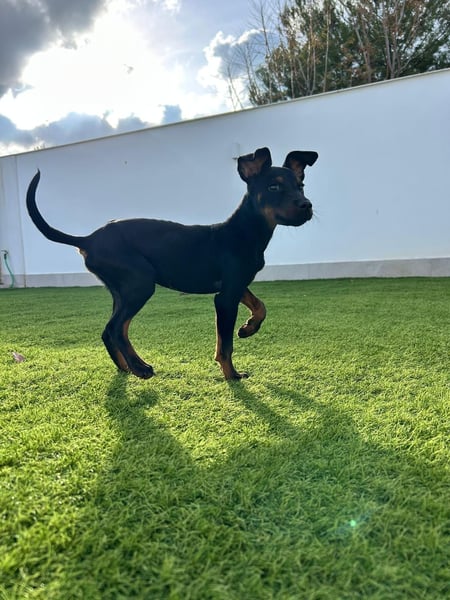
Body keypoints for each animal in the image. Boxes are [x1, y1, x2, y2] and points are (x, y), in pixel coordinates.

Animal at [26, 147, 318, 380]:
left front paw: (248, 329)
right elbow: (225, 345)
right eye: (273, 187)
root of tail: (88, 239)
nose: (307, 205)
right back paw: (139, 368)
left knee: (113, 330)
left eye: (301, 186)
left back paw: (128, 367)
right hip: (140, 284)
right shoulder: (225, 297)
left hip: (123, 290)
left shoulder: (236, 286)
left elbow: (261, 306)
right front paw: (232, 375)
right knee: (115, 328)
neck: (245, 232)